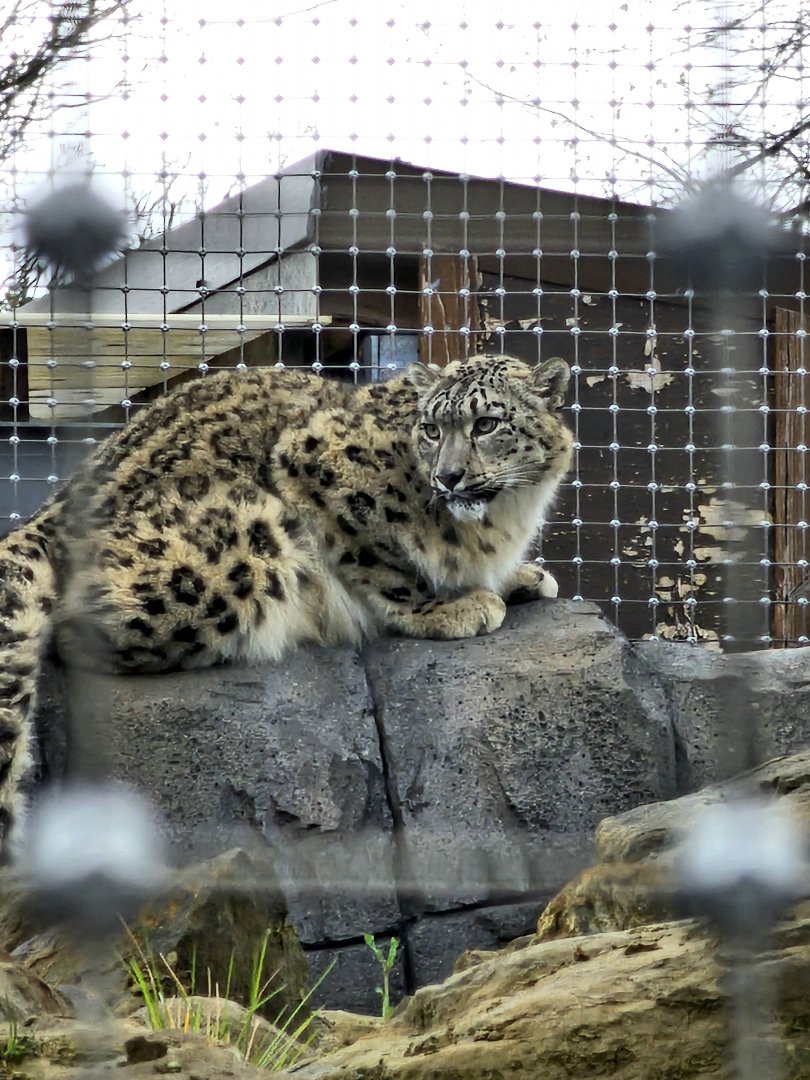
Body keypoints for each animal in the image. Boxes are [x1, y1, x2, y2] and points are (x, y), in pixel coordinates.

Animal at [0, 352, 573, 852]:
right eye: (431, 430)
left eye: (487, 424)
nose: (448, 476)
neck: (506, 517)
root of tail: (47, 512)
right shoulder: (317, 463)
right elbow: (382, 560)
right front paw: (451, 607)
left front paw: (522, 578)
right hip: (245, 540)